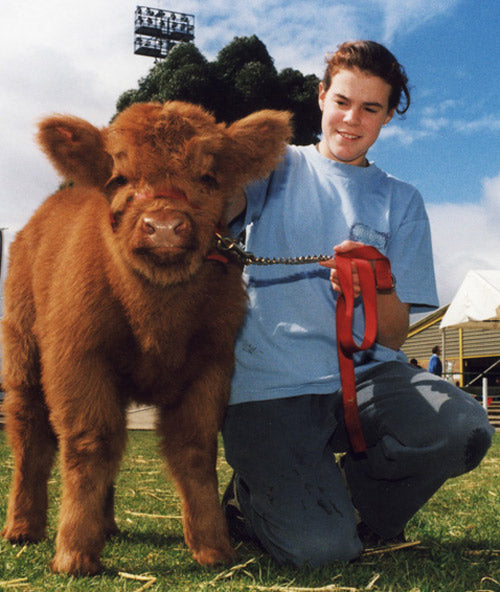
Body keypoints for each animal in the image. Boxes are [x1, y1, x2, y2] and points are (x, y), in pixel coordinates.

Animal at [0, 100, 292, 572]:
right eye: (119, 178)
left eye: (208, 177)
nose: (165, 225)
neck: (158, 317)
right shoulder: (78, 359)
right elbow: (89, 444)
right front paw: (74, 553)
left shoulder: (211, 368)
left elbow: (194, 450)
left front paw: (213, 548)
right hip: (23, 355)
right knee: (30, 435)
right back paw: (23, 527)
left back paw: (105, 525)